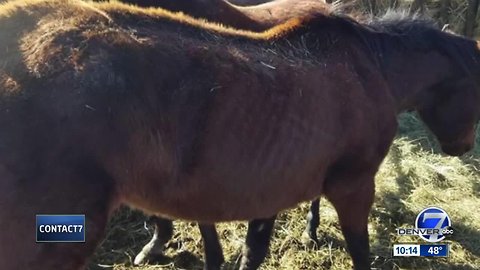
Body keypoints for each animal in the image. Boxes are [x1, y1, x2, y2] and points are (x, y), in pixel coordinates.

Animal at [0, 0, 480, 270]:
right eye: (474, 89)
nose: (462, 147)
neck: (371, 69)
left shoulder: (267, 188)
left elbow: (252, 252)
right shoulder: (354, 186)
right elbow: (360, 253)